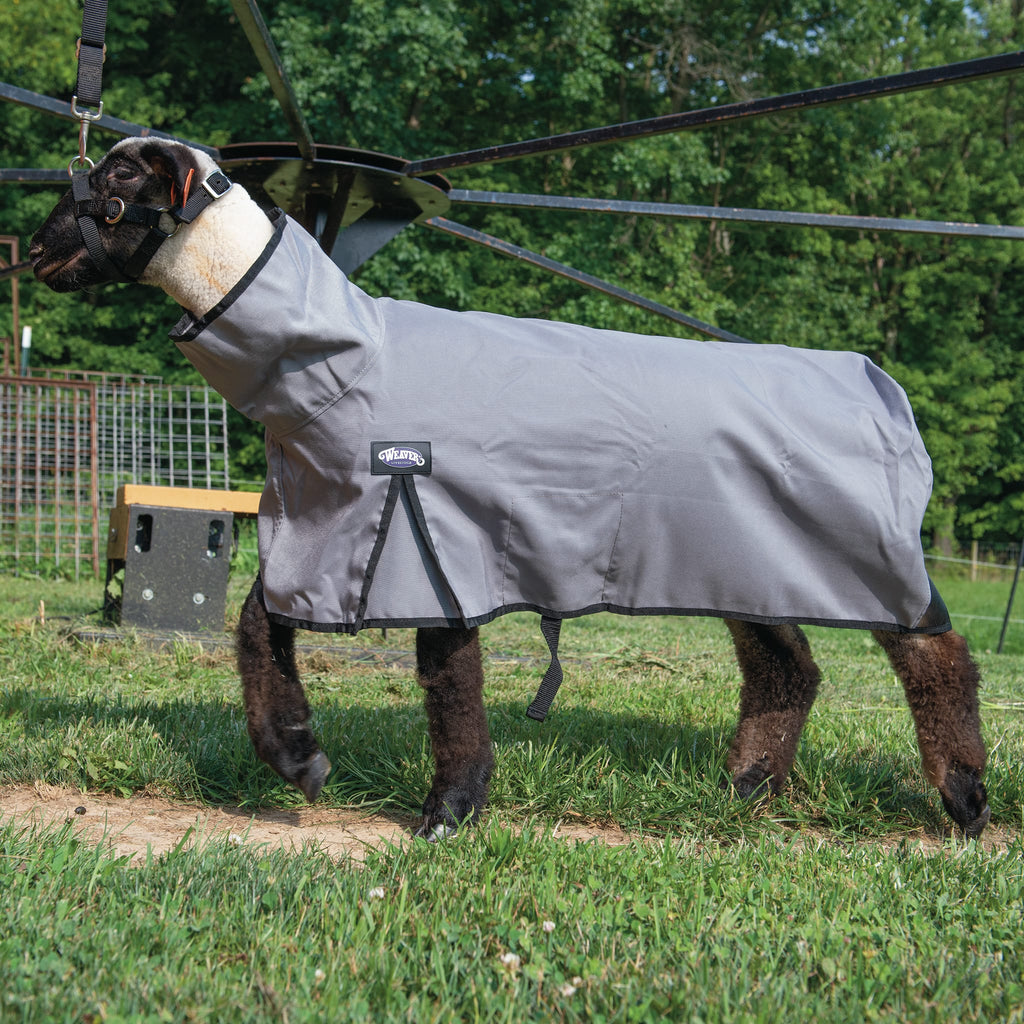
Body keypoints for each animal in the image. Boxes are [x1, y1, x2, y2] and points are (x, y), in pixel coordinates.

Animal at [31, 137, 990, 839]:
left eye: (118, 177)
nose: (35, 250)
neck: (342, 358)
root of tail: (881, 385)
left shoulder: (428, 532)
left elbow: (447, 679)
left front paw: (448, 812)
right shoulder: (325, 527)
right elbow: (254, 627)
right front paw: (298, 759)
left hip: (865, 546)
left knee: (936, 652)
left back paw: (965, 799)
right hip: (744, 554)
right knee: (787, 667)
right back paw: (747, 790)